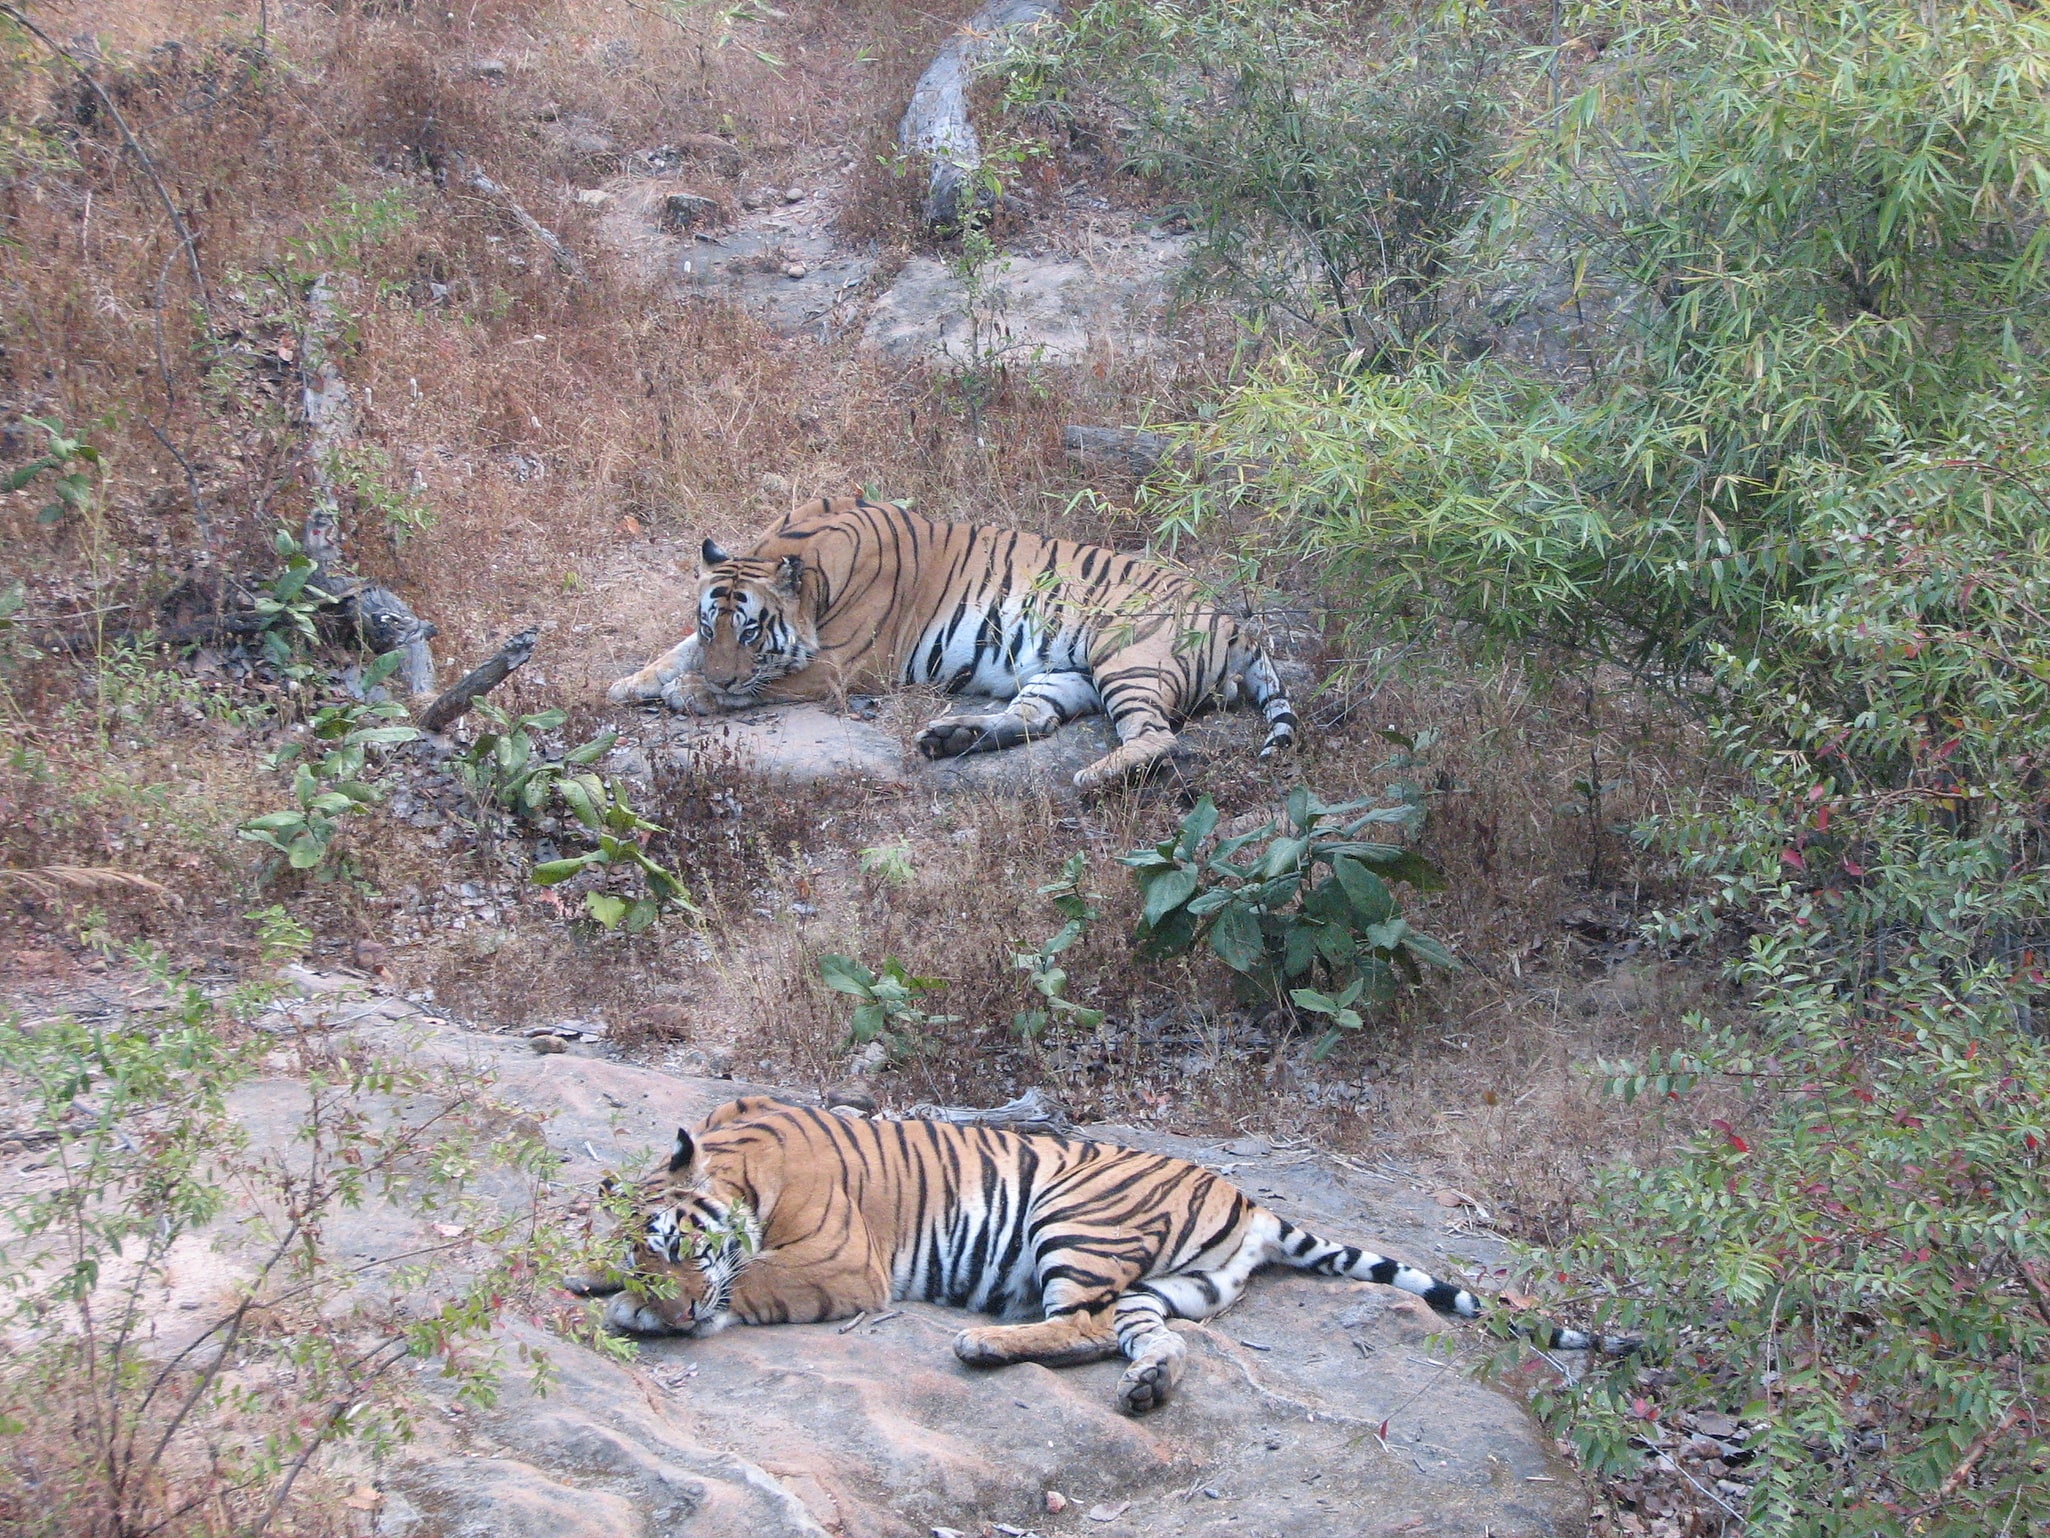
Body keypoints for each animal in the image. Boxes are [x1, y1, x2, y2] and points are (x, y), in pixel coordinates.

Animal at [569, 1099, 1623, 1419]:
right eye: (648, 1252)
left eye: (681, 1247)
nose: (670, 1312)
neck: (740, 1163)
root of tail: (1257, 1204)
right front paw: (592, 1278)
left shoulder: (838, 1267)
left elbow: (747, 1283)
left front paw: (637, 1313)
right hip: (1166, 1288)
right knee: (1138, 1336)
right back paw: (1149, 1387)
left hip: (1074, 1222)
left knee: (1071, 1322)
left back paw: (985, 1349)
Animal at [598, 496, 1295, 795]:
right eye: (712, 624)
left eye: (750, 630)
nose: (720, 677)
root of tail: (1235, 620)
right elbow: (674, 650)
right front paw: (633, 681)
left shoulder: (839, 666)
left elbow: (763, 682)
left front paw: (693, 692)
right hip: (1065, 674)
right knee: (1034, 718)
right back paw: (950, 737)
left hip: (1127, 661)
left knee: (1157, 739)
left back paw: (1093, 775)